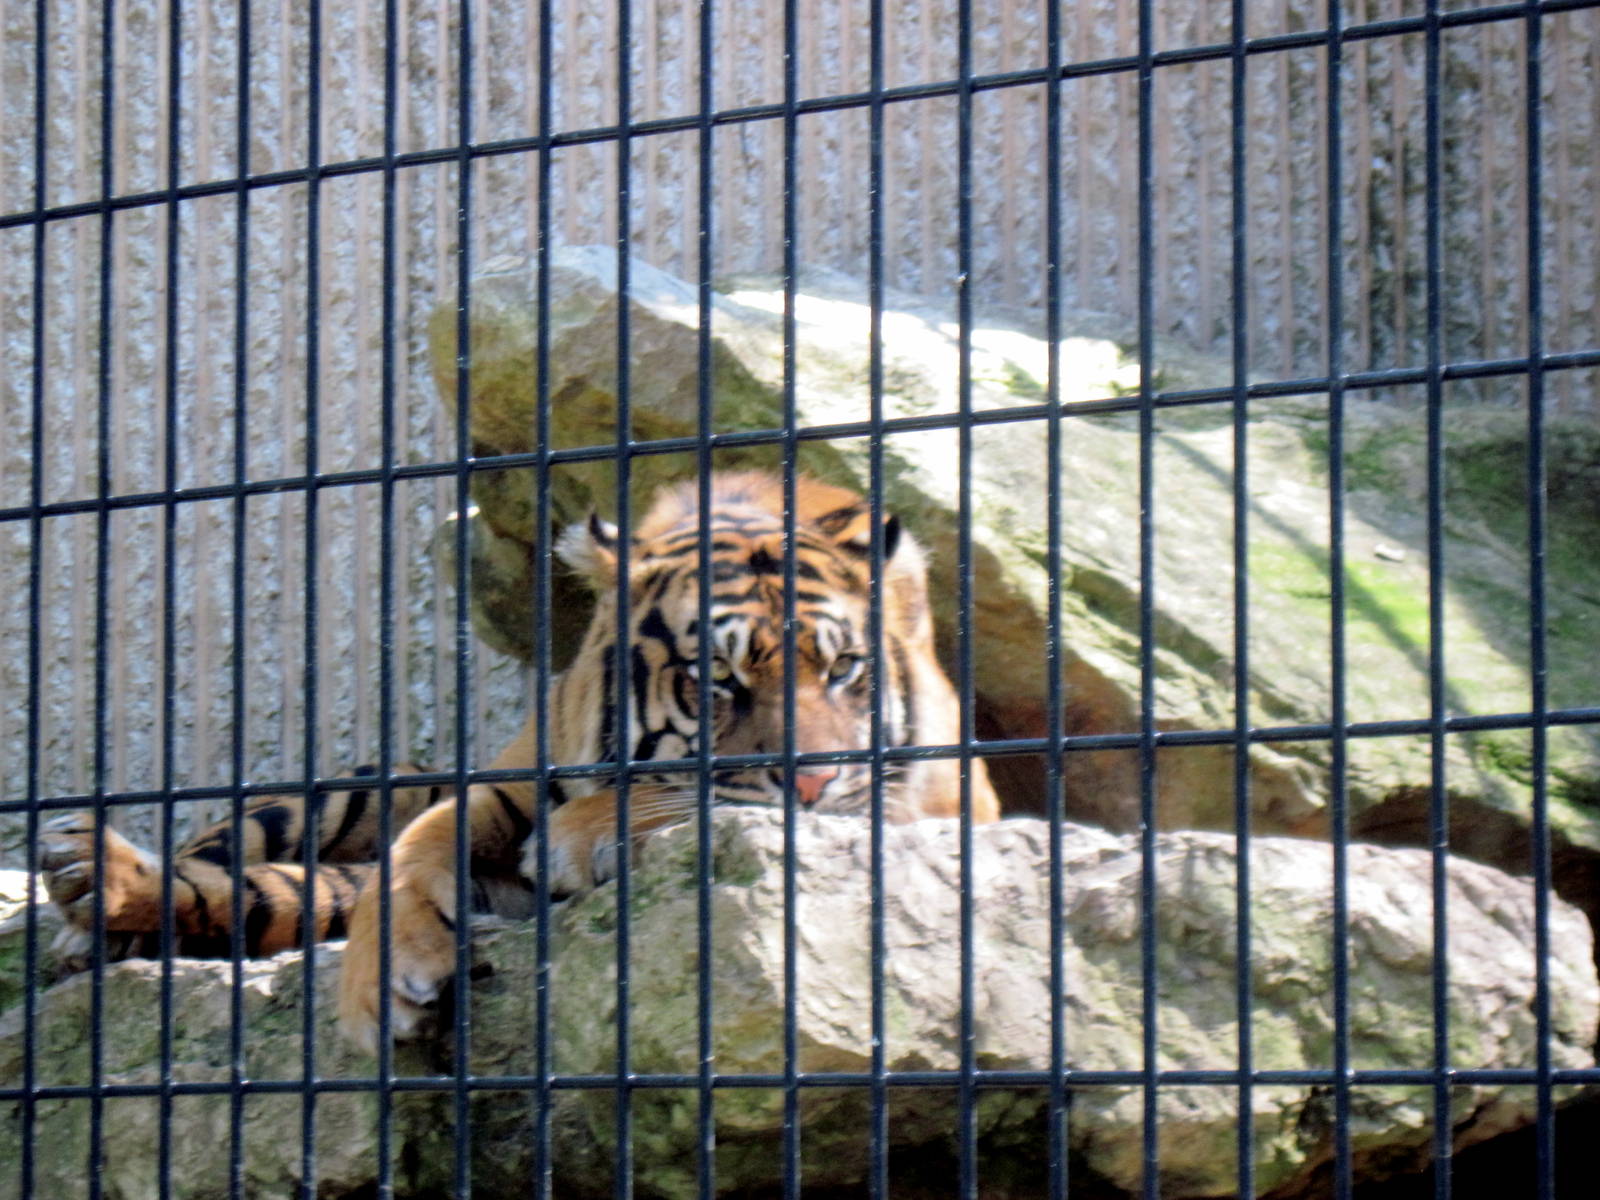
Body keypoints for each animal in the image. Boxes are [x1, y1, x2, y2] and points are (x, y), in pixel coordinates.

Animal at [37, 472, 999, 1051]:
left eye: (843, 669)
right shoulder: (495, 786)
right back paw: (90, 888)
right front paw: (383, 977)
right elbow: (411, 854)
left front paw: (582, 839)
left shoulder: (939, 803)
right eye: (717, 679)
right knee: (239, 865)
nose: (813, 780)